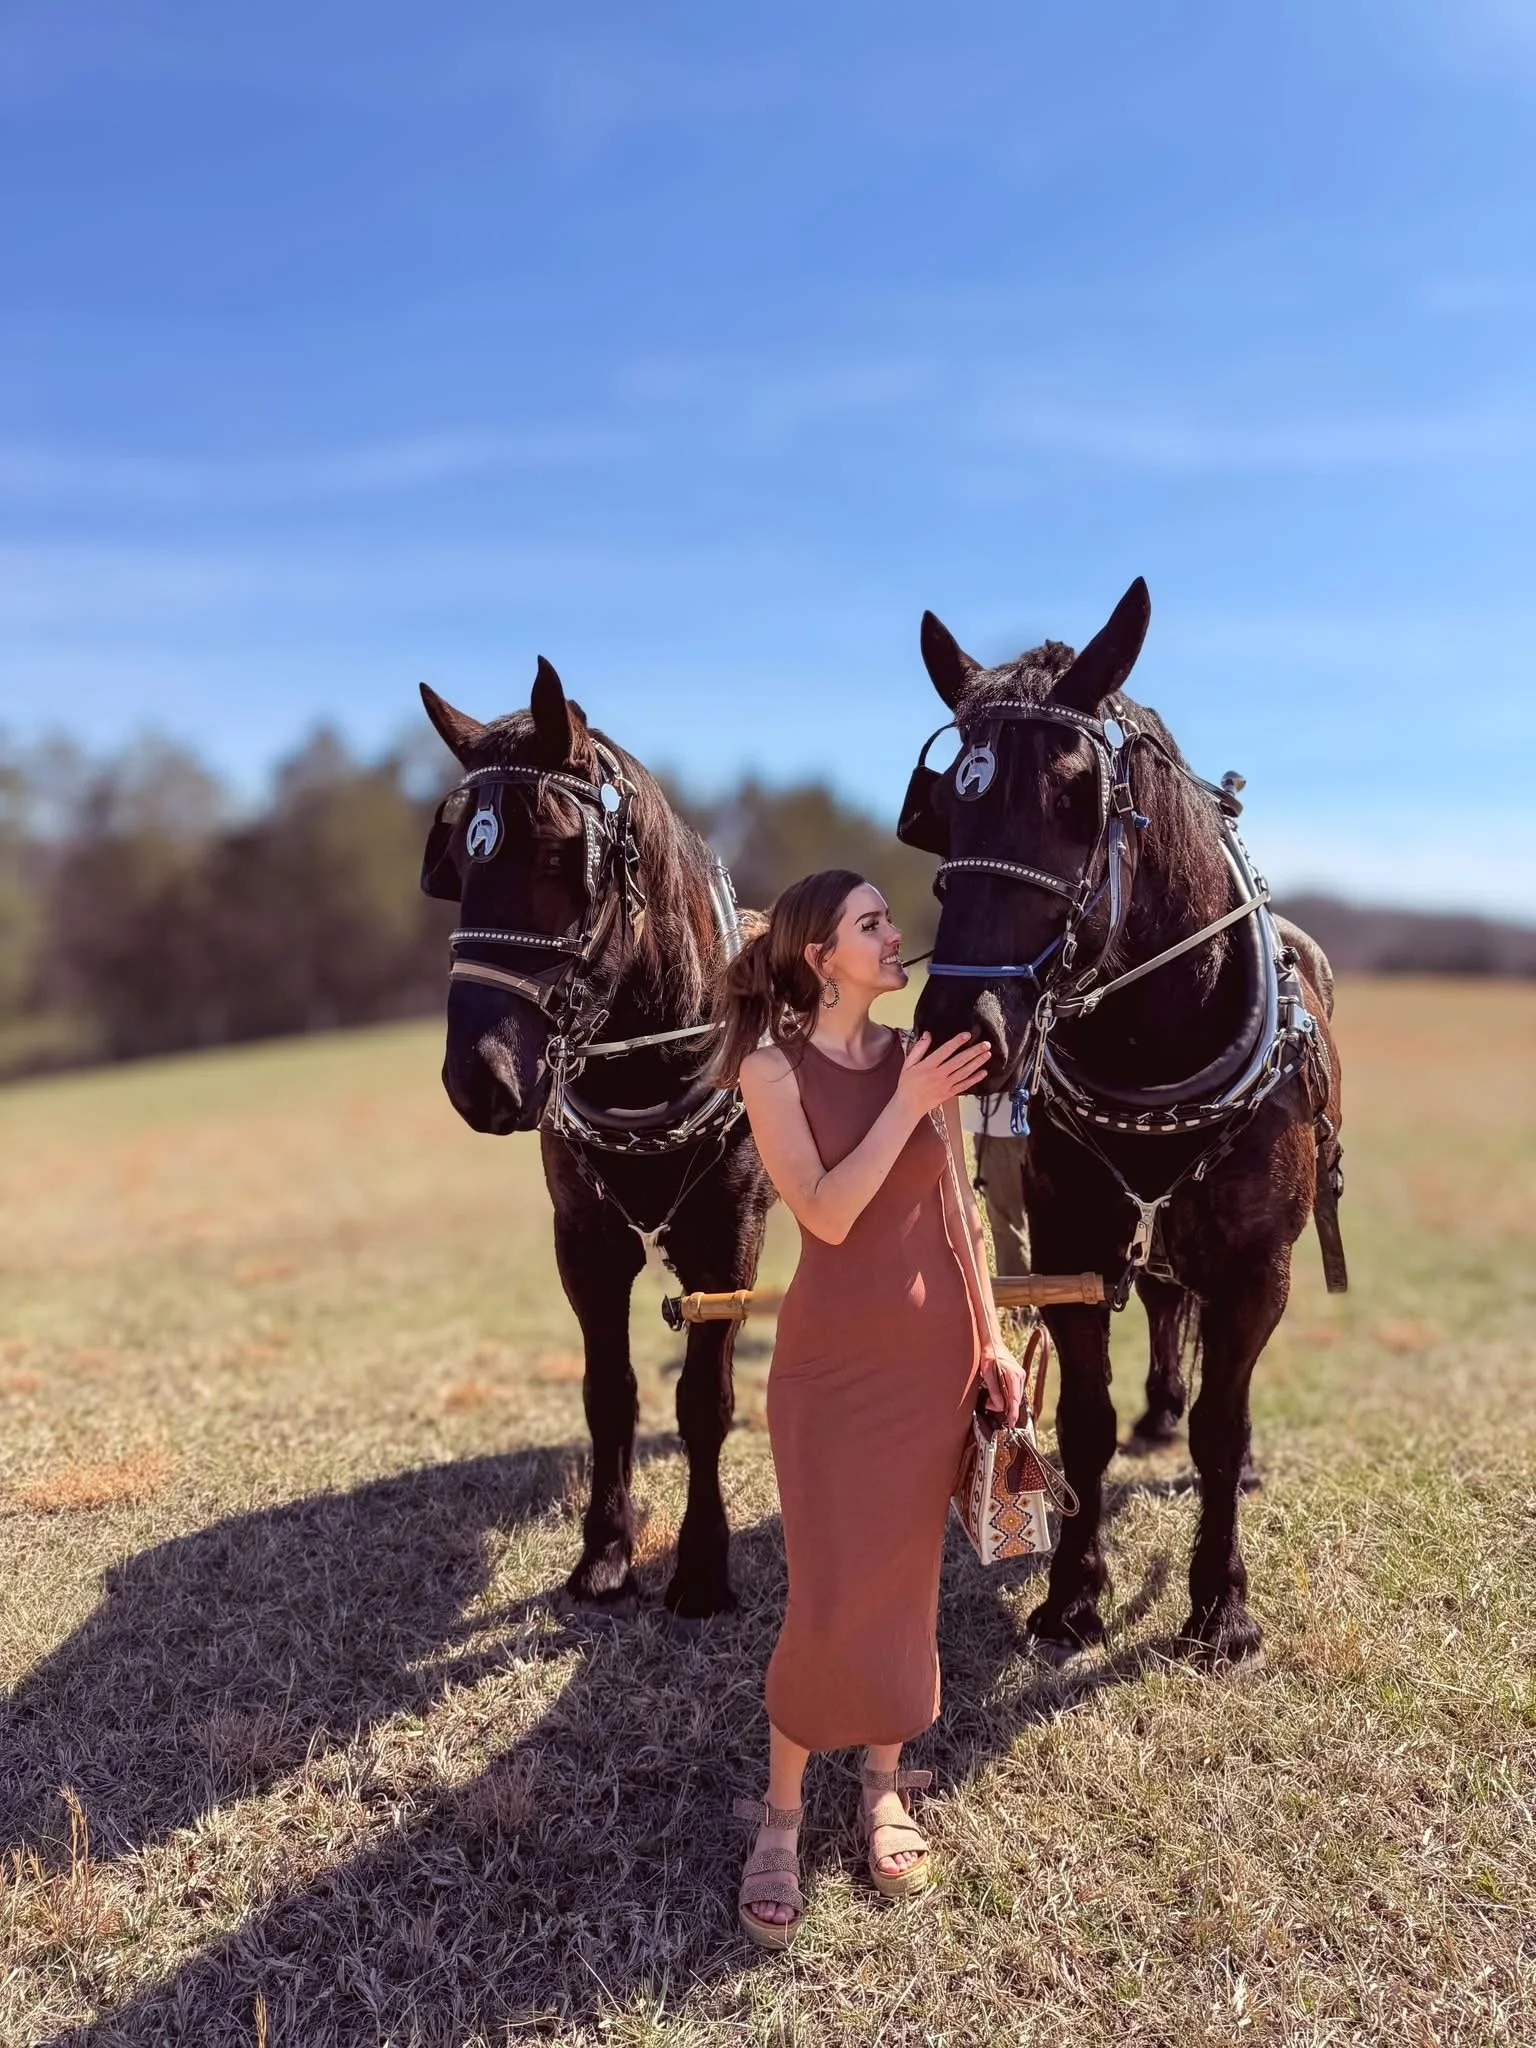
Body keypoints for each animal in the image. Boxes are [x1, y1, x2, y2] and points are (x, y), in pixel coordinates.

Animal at [418, 661, 774, 1620]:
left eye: (554, 856)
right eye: (455, 863)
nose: (479, 1077)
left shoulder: (727, 1237)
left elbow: (703, 1398)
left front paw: (701, 1567)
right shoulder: (583, 1240)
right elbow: (609, 1394)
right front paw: (606, 1554)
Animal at [901, 579, 1345, 1666]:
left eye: (1075, 797)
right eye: (951, 803)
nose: (960, 1023)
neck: (1155, 1054)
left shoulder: (1257, 1267)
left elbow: (1224, 1428)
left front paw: (1221, 1604)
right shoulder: (1073, 1251)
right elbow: (1087, 1424)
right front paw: (1072, 1593)